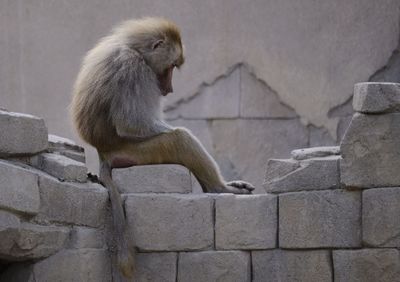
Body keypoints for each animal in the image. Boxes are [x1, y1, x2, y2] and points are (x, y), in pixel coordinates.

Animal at [70, 17, 253, 280]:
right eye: (171, 67)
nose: (169, 89)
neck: (135, 49)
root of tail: (103, 153)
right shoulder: (134, 70)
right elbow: (130, 124)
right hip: (136, 152)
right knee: (179, 139)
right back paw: (219, 188)